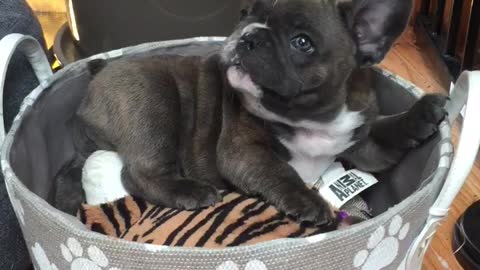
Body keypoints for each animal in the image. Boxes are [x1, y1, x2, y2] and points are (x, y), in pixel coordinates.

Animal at [67, 0, 446, 228]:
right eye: (245, 12)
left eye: (302, 42)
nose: (249, 34)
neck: (313, 119)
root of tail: (99, 71)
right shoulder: (243, 151)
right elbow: (279, 170)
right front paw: (307, 199)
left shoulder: (362, 143)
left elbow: (388, 133)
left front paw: (423, 113)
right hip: (151, 99)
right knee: (138, 174)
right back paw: (190, 192)